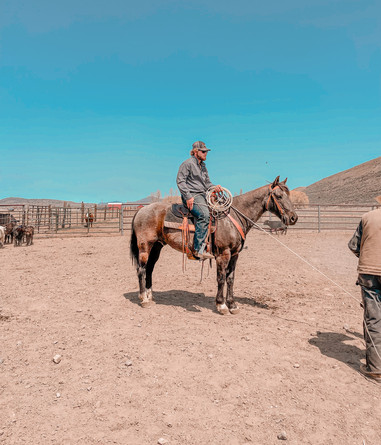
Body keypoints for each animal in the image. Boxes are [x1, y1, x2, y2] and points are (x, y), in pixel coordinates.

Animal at [130, 175, 296, 314]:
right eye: (279, 196)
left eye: (289, 195)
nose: (294, 218)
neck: (232, 217)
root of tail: (141, 210)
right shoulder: (224, 254)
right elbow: (221, 278)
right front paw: (221, 305)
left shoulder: (235, 254)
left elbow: (230, 278)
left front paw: (232, 305)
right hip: (145, 246)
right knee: (141, 269)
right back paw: (143, 299)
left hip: (157, 246)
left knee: (150, 268)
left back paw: (150, 295)